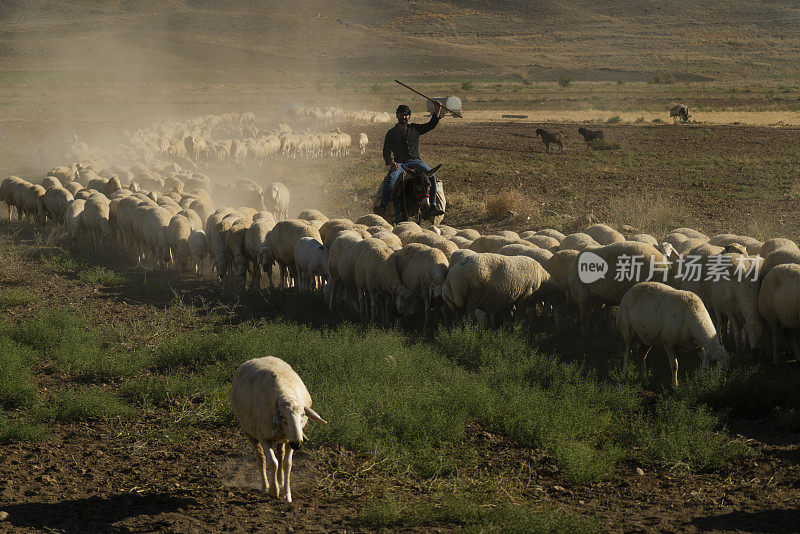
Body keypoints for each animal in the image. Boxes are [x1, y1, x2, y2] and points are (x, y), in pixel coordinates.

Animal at [231, 358, 328, 504]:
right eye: (282, 417)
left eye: (303, 415)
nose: (298, 444)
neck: (286, 394)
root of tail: (257, 359)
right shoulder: (265, 438)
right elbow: (273, 462)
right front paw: (274, 491)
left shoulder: (290, 439)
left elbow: (287, 464)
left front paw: (286, 494)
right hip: (249, 432)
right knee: (261, 457)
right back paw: (265, 486)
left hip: (282, 438)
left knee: (280, 455)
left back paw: (280, 481)